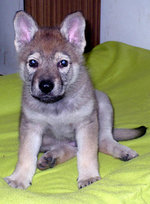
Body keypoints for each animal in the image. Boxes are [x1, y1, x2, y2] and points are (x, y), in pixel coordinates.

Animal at [4, 11, 146, 190]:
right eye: (33, 63)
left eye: (63, 63)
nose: (45, 86)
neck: (56, 105)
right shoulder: (31, 126)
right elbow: (26, 155)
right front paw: (19, 178)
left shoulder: (85, 124)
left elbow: (87, 153)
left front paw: (88, 177)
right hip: (46, 140)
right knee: (69, 148)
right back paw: (51, 158)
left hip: (104, 104)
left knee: (103, 141)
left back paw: (123, 151)